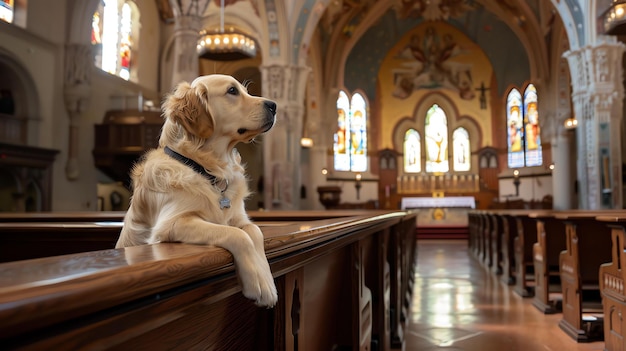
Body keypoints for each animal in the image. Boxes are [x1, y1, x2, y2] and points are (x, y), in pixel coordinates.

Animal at [116, 74, 276, 308]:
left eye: (244, 91)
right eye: (232, 91)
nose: (274, 105)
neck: (208, 170)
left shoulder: (239, 217)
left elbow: (254, 231)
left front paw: (265, 277)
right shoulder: (171, 224)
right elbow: (237, 235)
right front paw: (258, 283)